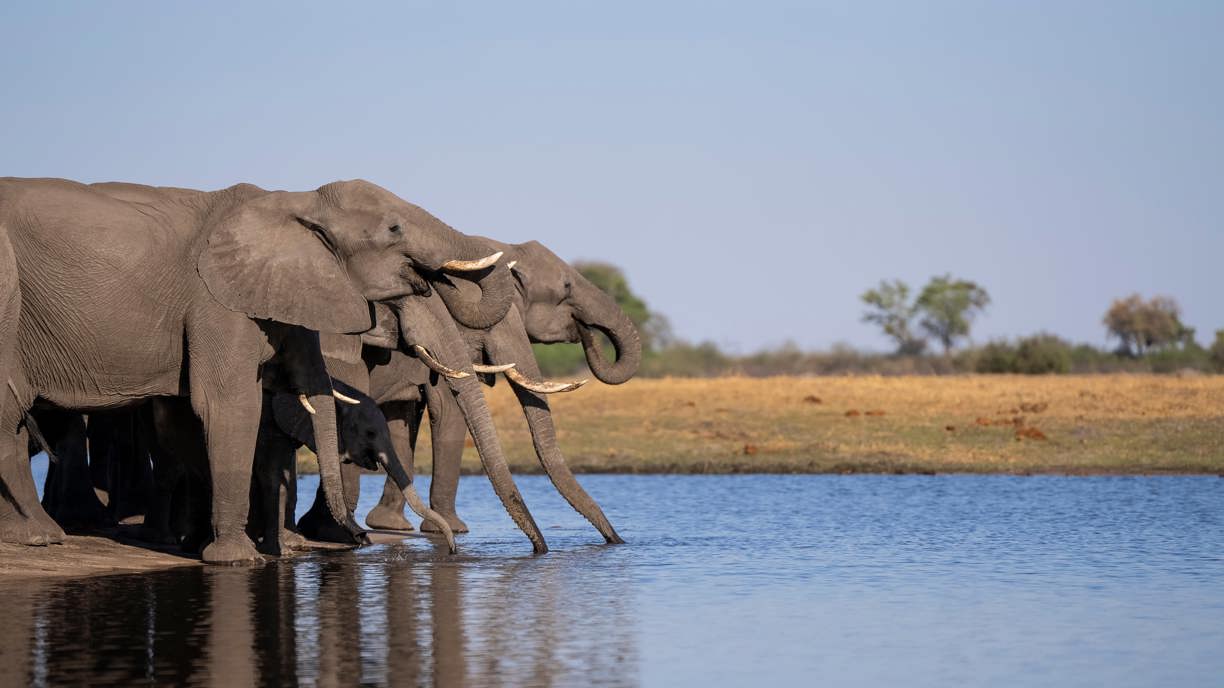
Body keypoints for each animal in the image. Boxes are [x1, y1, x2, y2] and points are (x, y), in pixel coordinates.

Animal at [0, 177, 506, 562]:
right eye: (394, 228)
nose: (451, 550)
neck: (297, 201)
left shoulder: (286, 288)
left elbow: (293, 390)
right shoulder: (216, 304)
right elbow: (229, 405)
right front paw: (237, 559)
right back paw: (43, 535)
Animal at [359, 239, 640, 543]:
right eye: (566, 287)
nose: (583, 329)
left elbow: (404, 417)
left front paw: (390, 526)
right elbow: (448, 410)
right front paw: (453, 529)